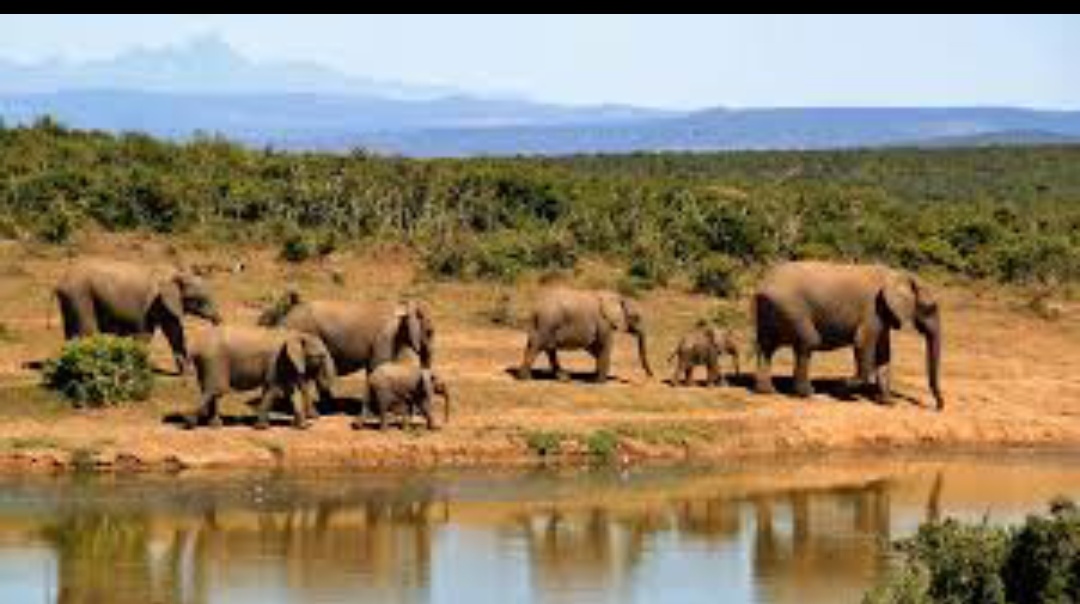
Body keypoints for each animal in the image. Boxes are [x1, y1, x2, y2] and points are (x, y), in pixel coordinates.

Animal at [55, 259, 221, 374]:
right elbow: (145, 334)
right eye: (200, 300)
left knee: (70, 331)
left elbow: (175, 333)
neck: (175, 275)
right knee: (87, 331)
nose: (218, 321)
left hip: (70, 299)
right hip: (80, 296)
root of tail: (60, 281)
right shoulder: (149, 304)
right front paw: (140, 370)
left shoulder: (167, 305)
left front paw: (188, 374)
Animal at [186, 326, 335, 430]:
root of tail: (195, 348)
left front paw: (302, 427)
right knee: (215, 390)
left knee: (211, 391)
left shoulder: (286, 363)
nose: (315, 419)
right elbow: (273, 388)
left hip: (208, 364)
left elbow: (291, 392)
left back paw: (215, 426)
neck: (294, 334)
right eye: (321, 356)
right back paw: (189, 424)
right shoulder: (276, 361)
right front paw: (262, 428)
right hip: (214, 361)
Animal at [516, 288, 653, 383]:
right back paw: (526, 379)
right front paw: (599, 382)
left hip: (543, 325)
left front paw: (594, 377)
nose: (650, 376)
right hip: (548, 322)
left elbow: (595, 348)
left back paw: (564, 379)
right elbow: (604, 346)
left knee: (545, 348)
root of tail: (535, 308)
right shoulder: (604, 323)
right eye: (636, 317)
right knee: (537, 346)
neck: (618, 297)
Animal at [752, 261, 943, 409]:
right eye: (931, 307)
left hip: (769, 310)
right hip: (791, 308)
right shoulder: (872, 310)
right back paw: (808, 393)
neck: (898, 274)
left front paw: (888, 403)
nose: (937, 407)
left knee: (766, 347)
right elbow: (863, 344)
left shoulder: (883, 314)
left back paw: (766, 391)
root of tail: (762, 285)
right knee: (808, 342)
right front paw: (842, 389)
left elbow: (884, 354)